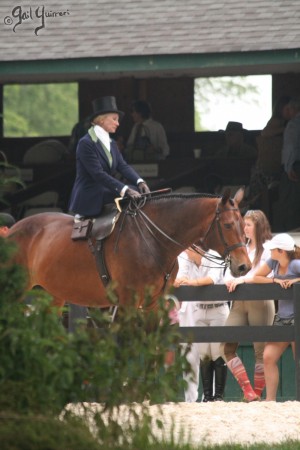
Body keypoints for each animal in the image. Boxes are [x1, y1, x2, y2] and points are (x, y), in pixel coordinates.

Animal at [7, 188, 251, 312]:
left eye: (242, 224)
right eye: (228, 225)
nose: (244, 266)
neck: (152, 240)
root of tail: (12, 230)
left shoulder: (153, 304)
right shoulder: (128, 303)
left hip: (52, 297)